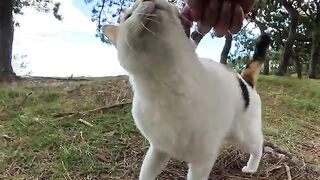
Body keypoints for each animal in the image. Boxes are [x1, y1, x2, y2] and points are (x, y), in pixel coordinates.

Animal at [102, 0, 270, 179]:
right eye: (128, 16)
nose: (147, 1)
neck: (166, 81)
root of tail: (245, 80)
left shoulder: (202, 160)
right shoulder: (158, 149)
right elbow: (146, 172)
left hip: (244, 135)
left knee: (259, 146)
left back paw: (251, 167)